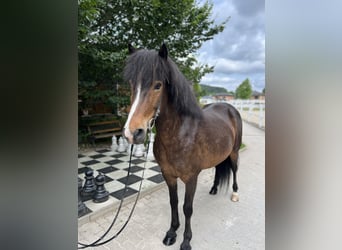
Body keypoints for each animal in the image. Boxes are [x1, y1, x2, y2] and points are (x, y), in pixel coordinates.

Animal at [123, 43, 243, 250]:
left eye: (158, 85)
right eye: (131, 84)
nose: (133, 133)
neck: (180, 134)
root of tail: (229, 107)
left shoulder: (191, 178)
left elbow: (187, 208)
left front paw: (186, 241)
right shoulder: (168, 175)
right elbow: (174, 202)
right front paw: (172, 232)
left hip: (234, 153)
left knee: (234, 170)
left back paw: (234, 193)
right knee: (218, 168)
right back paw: (214, 189)